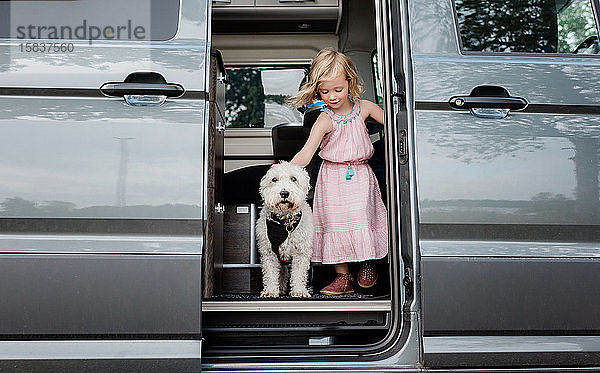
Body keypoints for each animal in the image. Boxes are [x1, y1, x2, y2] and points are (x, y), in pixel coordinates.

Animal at [255, 161, 314, 296]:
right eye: (274, 179)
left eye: (293, 179)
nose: (284, 193)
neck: (284, 222)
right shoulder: (268, 252)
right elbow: (271, 274)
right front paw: (270, 291)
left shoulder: (301, 252)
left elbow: (298, 274)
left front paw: (299, 291)